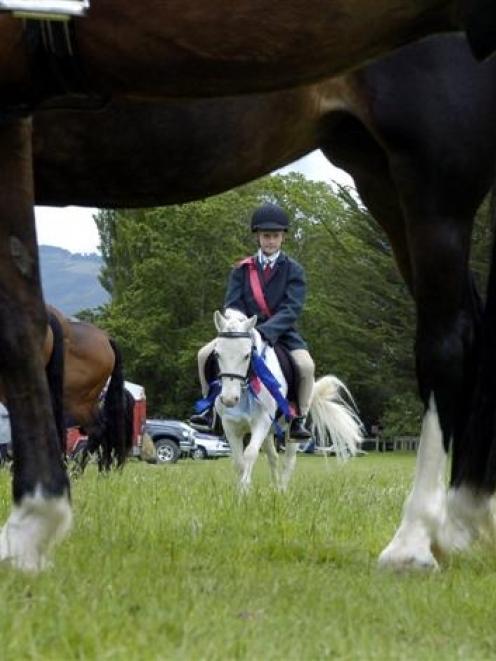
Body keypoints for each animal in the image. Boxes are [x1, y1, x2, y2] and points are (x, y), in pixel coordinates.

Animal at [212, 308, 360, 490]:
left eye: (247, 355)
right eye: (217, 354)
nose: (229, 399)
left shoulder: (261, 421)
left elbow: (250, 454)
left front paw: (245, 490)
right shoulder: (231, 425)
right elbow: (239, 462)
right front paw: (242, 490)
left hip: (291, 431)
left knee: (289, 460)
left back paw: (282, 490)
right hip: (269, 432)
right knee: (273, 457)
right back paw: (275, 489)